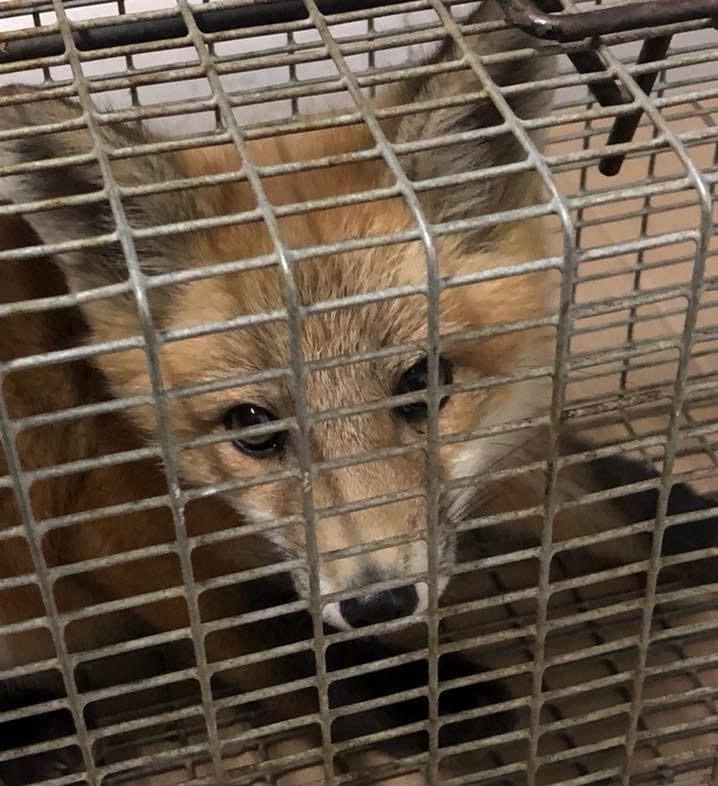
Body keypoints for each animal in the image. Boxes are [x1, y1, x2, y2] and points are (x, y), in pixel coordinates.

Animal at [0, 0, 716, 783]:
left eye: (423, 383)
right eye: (252, 426)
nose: (380, 602)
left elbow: (585, 491)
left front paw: (673, 519)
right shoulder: (113, 533)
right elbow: (285, 651)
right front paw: (430, 701)